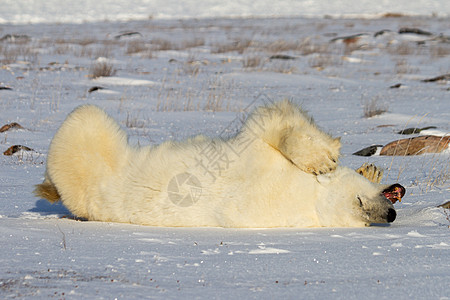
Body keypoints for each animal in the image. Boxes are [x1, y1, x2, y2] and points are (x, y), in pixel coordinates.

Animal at [33, 101, 402, 227]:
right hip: (88, 155)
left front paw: (370, 168)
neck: (304, 200)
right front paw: (324, 160)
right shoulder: (255, 162)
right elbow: (270, 122)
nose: (390, 214)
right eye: (359, 202)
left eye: (365, 222)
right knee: (85, 118)